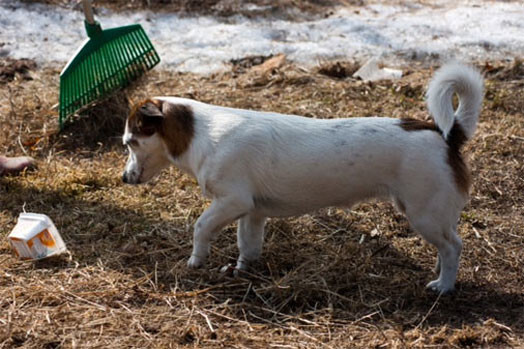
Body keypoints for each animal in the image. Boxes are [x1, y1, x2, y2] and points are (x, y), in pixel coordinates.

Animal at [122, 63, 484, 294]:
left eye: (130, 142)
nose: (124, 178)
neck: (201, 135)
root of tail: (446, 135)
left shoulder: (230, 202)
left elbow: (200, 227)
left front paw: (196, 260)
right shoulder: (251, 212)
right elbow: (247, 245)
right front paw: (242, 270)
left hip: (424, 214)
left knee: (454, 247)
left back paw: (444, 286)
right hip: (431, 215)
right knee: (446, 246)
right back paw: (439, 273)